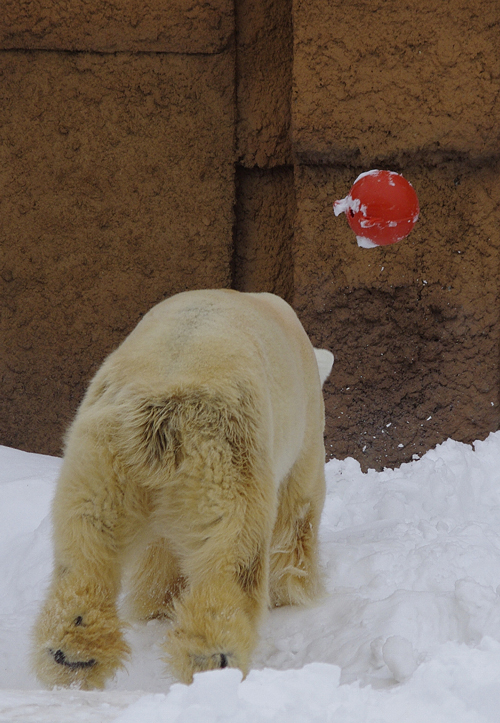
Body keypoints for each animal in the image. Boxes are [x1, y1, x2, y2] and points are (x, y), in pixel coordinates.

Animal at [33, 290, 334, 692]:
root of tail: (163, 403)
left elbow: (161, 549)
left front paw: (159, 603)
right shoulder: (305, 434)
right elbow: (298, 514)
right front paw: (295, 594)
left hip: (100, 454)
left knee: (88, 543)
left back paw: (72, 656)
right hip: (227, 449)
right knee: (232, 553)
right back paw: (216, 660)